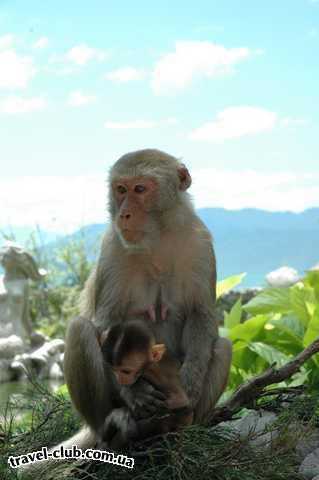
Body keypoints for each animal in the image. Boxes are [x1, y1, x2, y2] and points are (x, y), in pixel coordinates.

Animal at [63, 149, 232, 446]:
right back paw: (116, 423)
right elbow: (105, 323)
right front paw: (135, 392)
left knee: (222, 346)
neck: (157, 240)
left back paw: (184, 429)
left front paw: (189, 382)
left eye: (140, 189)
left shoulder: (200, 242)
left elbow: (201, 313)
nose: (124, 214)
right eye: (121, 190)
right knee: (80, 329)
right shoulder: (113, 247)